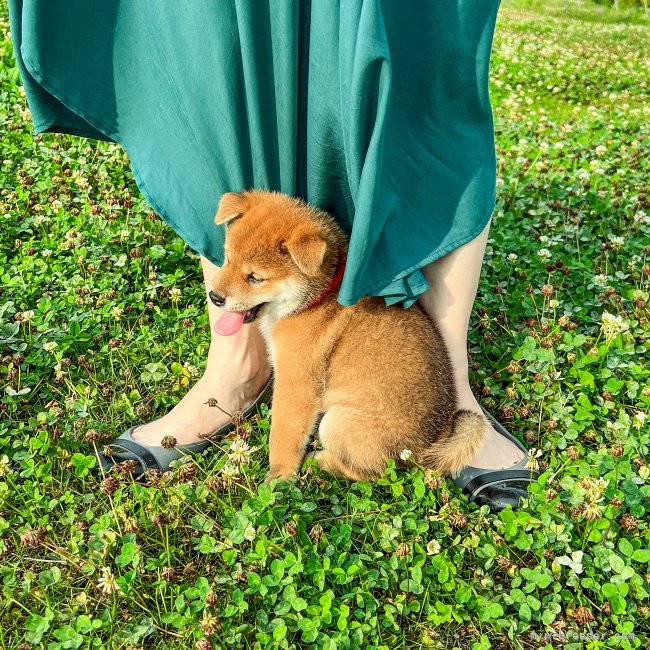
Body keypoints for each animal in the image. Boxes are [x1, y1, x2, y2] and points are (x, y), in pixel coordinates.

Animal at [208, 189, 486, 480]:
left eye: (255, 278)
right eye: (227, 258)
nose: (214, 297)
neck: (317, 297)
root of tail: (428, 445)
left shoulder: (296, 382)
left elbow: (283, 436)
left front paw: (277, 477)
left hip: (338, 422)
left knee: (369, 472)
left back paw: (318, 462)